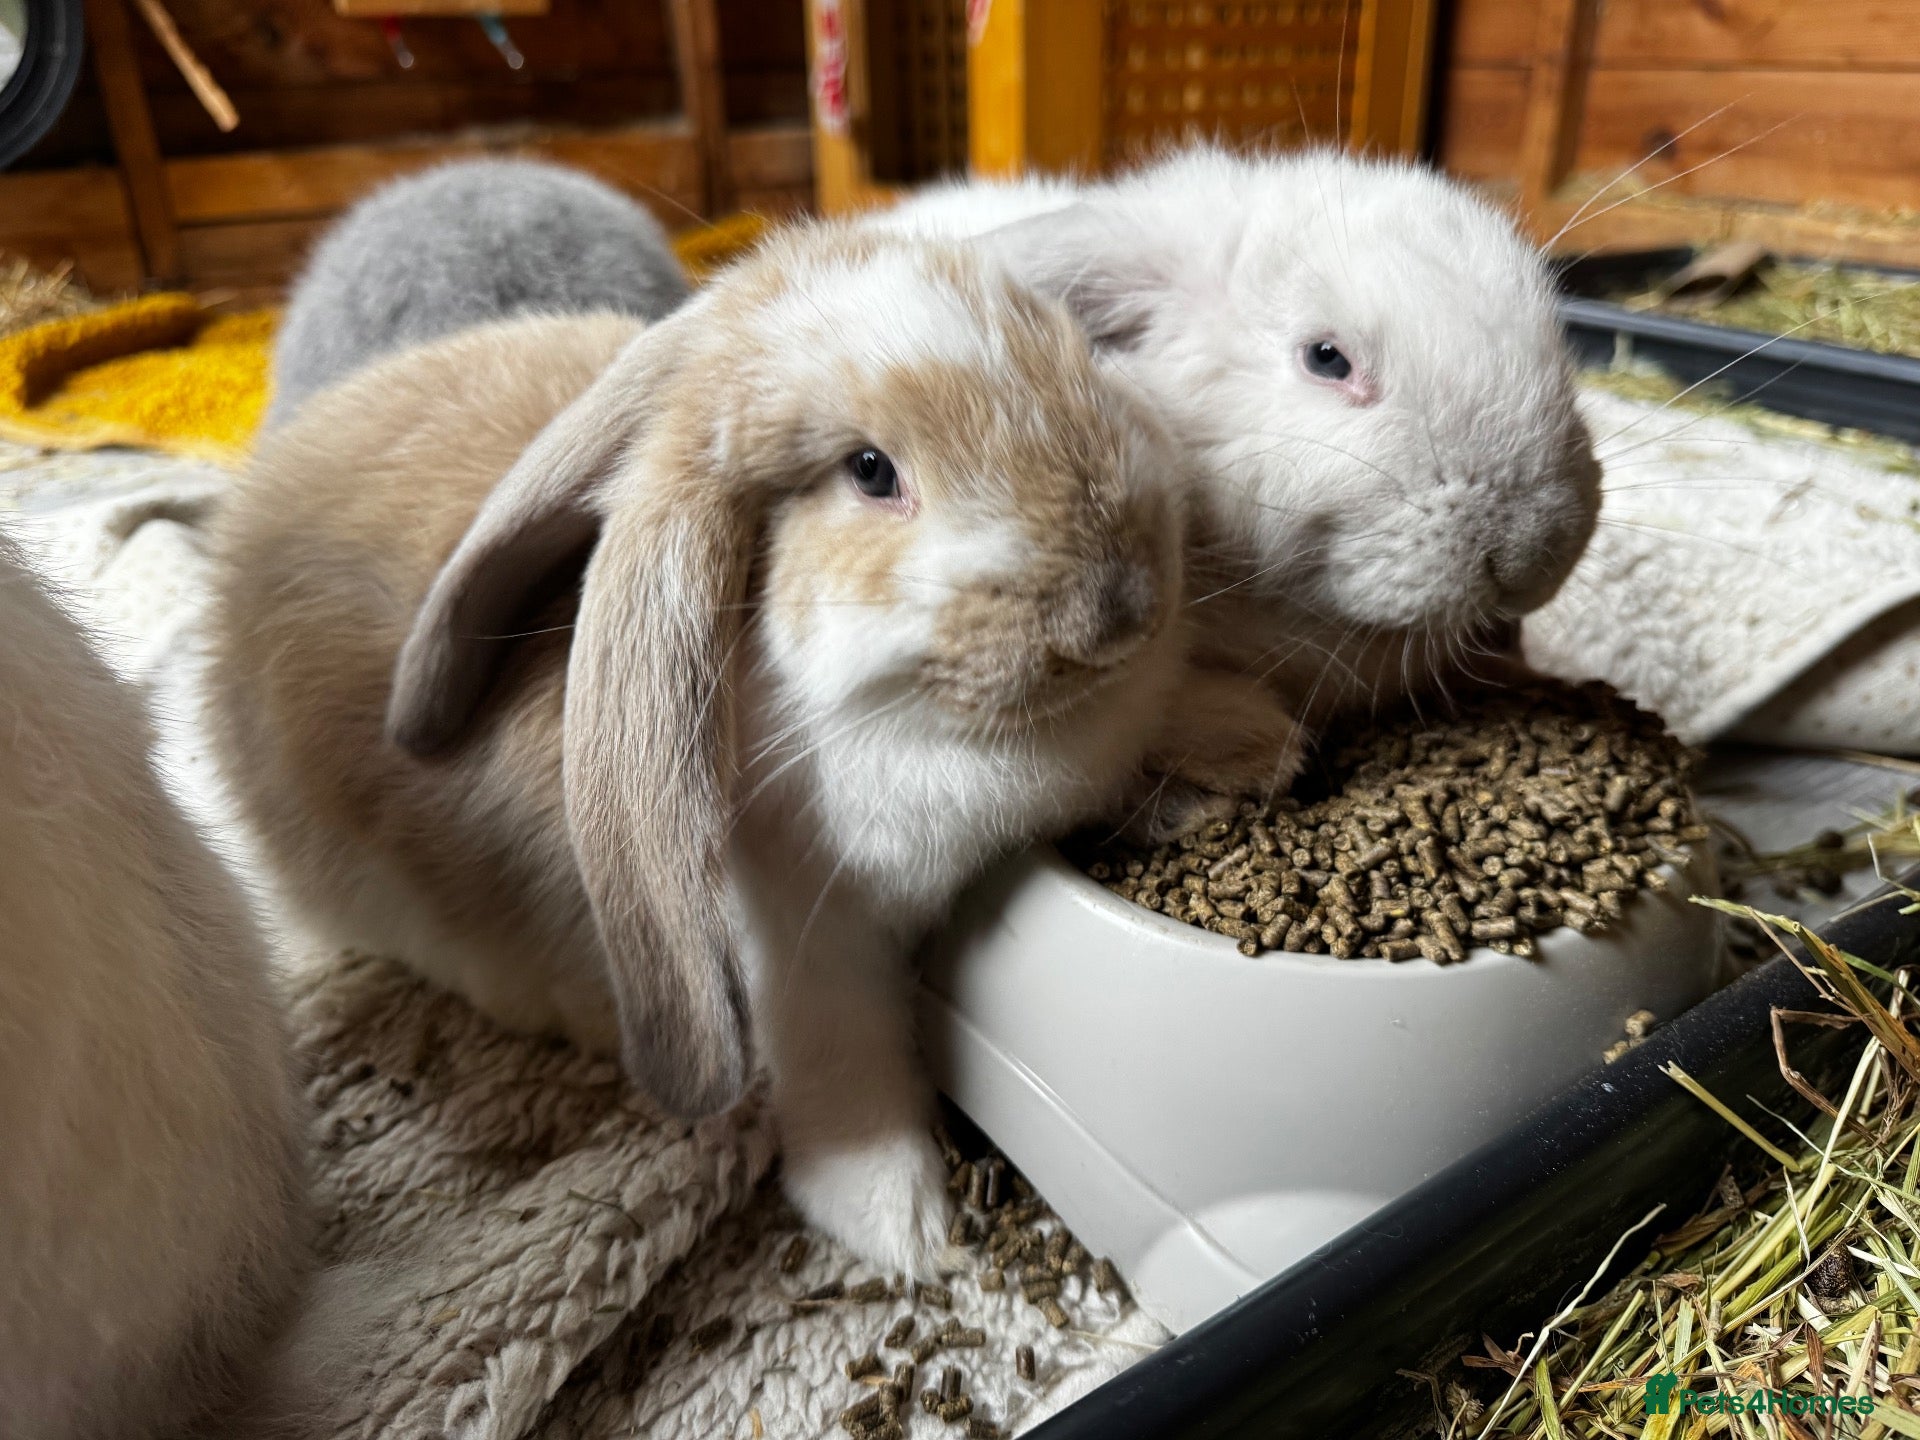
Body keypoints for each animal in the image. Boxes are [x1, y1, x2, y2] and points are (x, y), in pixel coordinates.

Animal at [202, 222, 1244, 1273]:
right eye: (871, 471)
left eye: (1077, 360)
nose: (1121, 609)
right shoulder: (807, 948)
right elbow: (846, 1057)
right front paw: (897, 1221)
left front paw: (1242, 743)